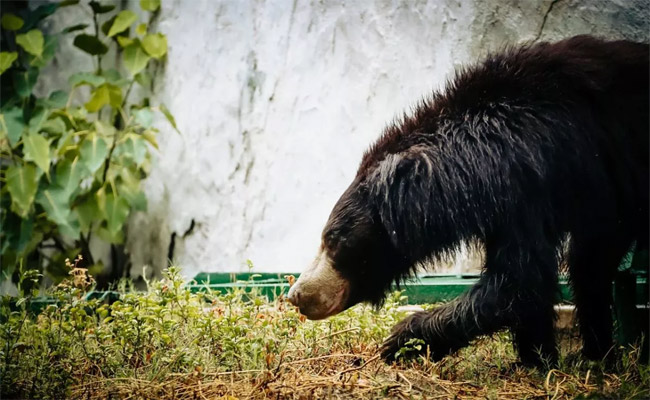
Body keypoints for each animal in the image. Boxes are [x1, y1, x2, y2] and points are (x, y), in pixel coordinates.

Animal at [287, 35, 649, 367]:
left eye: (334, 241)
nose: (296, 295)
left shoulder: (531, 187)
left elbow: (519, 278)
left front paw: (402, 338)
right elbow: (539, 276)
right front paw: (539, 359)